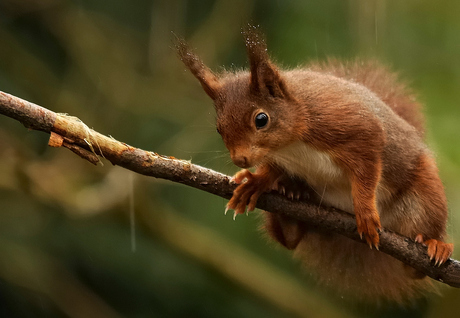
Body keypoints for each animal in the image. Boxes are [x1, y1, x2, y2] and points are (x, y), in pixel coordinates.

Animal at [175, 25, 452, 304]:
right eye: (219, 129)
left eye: (261, 119)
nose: (240, 159)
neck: (291, 144)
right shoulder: (281, 158)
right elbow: (272, 170)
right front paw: (255, 182)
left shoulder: (355, 129)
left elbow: (367, 170)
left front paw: (365, 211)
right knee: (290, 238)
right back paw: (291, 196)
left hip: (425, 198)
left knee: (416, 267)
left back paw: (436, 245)